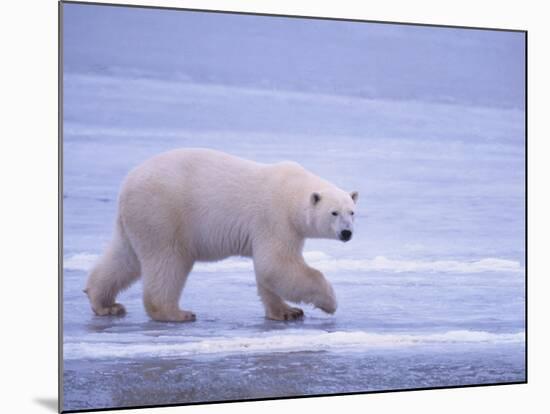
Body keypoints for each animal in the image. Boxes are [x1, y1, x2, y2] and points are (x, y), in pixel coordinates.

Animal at [84, 149, 360, 324]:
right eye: (334, 213)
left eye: (352, 212)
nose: (347, 233)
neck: (292, 193)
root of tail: (126, 186)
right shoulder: (275, 219)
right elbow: (277, 265)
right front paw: (330, 303)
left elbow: (267, 272)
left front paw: (287, 312)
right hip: (163, 214)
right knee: (168, 262)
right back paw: (176, 313)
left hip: (136, 221)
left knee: (124, 258)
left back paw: (104, 303)